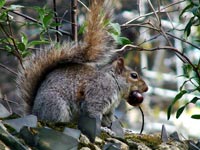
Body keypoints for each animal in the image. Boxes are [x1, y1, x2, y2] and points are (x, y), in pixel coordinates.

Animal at [16, 0, 148, 141]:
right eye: (134, 75)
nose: (146, 88)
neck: (114, 82)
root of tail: (34, 112)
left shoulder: (109, 110)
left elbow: (108, 120)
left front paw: (119, 129)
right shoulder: (97, 95)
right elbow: (93, 115)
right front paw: (104, 130)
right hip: (57, 105)